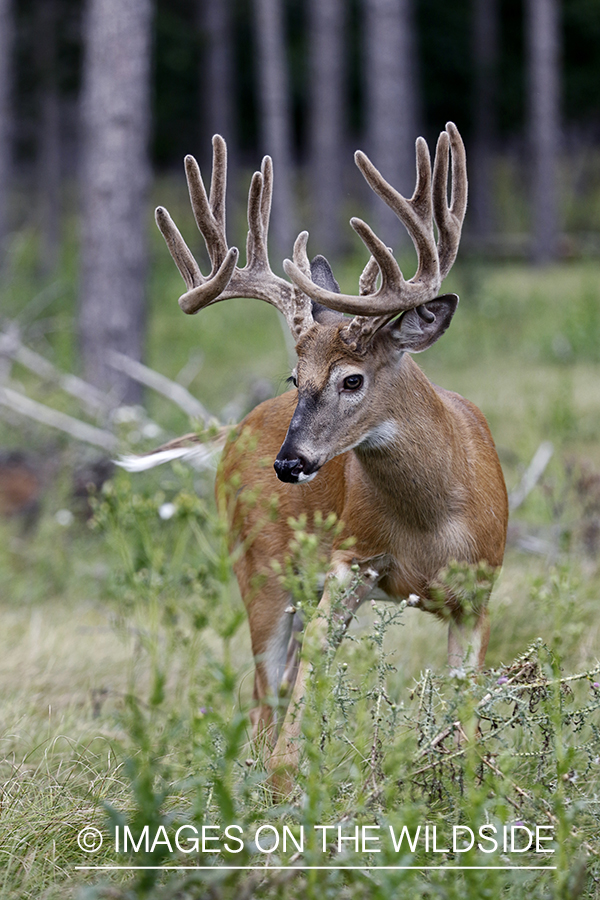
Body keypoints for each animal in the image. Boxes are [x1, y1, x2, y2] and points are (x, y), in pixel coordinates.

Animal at [135, 123, 506, 792]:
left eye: (352, 379)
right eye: (295, 375)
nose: (288, 464)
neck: (433, 521)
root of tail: (235, 428)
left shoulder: (479, 589)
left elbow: (466, 732)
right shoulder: (348, 564)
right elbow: (306, 695)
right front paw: (287, 789)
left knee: (275, 690)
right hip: (260, 568)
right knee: (265, 699)